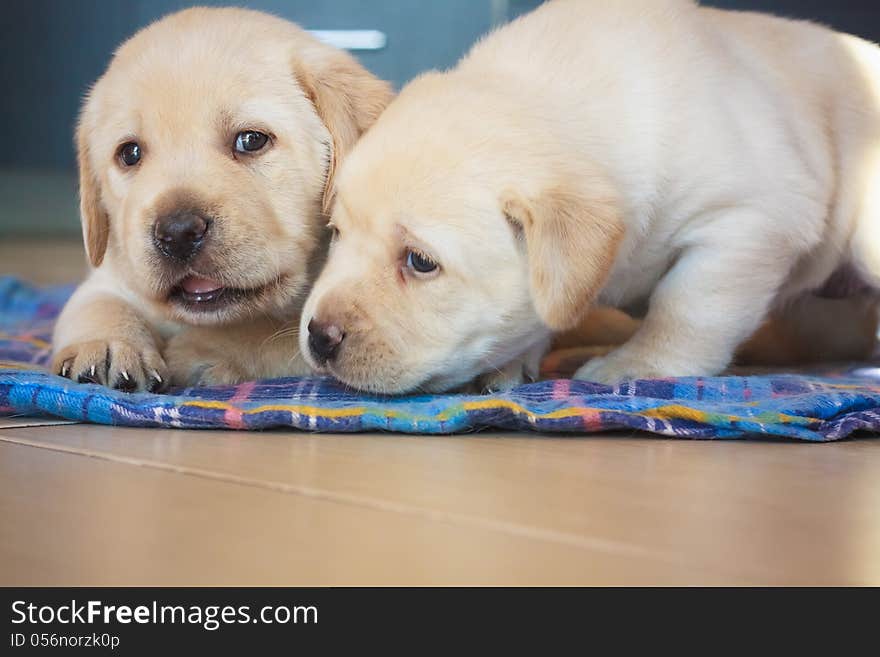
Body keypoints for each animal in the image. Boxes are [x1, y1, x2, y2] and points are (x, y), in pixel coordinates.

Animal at [50, 6, 388, 390]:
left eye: (251, 140)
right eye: (130, 153)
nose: (178, 233)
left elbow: (272, 333)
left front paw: (198, 349)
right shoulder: (112, 274)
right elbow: (97, 303)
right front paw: (108, 343)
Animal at [296, 0, 880, 390]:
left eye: (420, 262)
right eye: (337, 234)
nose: (319, 337)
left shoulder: (748, 221)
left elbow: (688, 307)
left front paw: (640, 365)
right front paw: (514, 363)